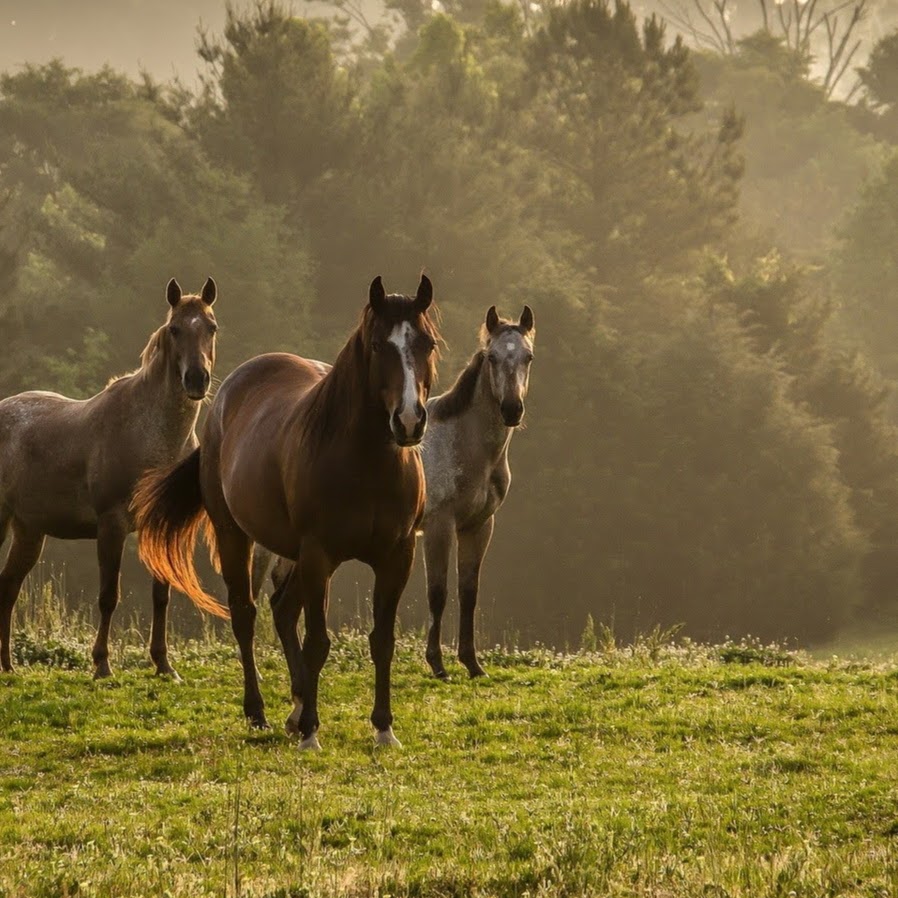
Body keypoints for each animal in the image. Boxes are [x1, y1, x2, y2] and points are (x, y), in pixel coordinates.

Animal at [0, 276, 217, 676]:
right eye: (175, 329)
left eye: (211, 326)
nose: (197, 379)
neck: (150, 434)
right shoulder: (111, 525)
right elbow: (108, 596)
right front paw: (101, 663)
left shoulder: (156, 526)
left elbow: (161, 595)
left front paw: (164, 664)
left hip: (29, 531)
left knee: (8, 586)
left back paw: (7, 664)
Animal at [134, 276, 438, 744]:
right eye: (377, 346)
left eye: (427, 343)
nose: (408, 421)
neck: (366, 464)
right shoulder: (319, 555)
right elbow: (317, 643)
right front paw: (312, 731)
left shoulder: (396, 557)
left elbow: (381, 641)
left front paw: (384, 728)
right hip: (237, 536)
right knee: (247, 615)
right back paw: (259, 711)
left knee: (282, 610)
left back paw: (294, 709)